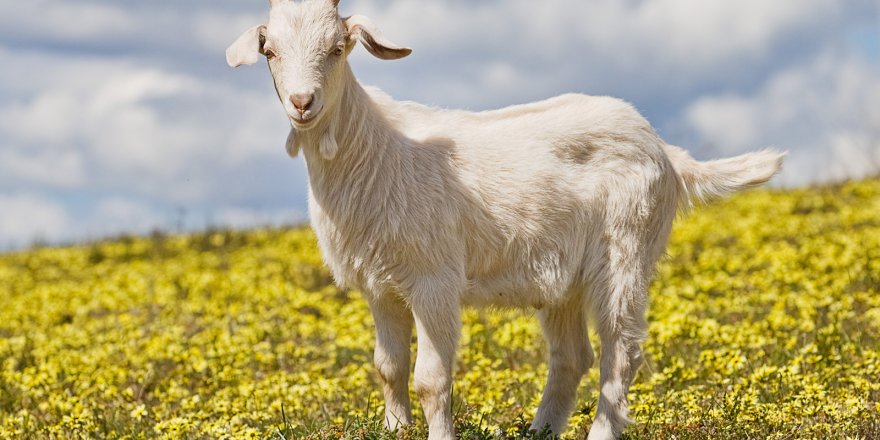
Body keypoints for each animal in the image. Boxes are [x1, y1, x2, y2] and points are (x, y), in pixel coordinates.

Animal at [227, 1, 784, 438]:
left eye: (338, 48)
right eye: (270, 52)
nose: (303, 103)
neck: (377, 149)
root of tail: (665, 150)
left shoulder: (434, 280)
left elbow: (431, 379)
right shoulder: (380, 286)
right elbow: (388, 368)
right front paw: (395, 428)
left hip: (626, 250)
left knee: (621, 352)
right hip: (564, 279)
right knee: (571, 357)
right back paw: (539, 431)